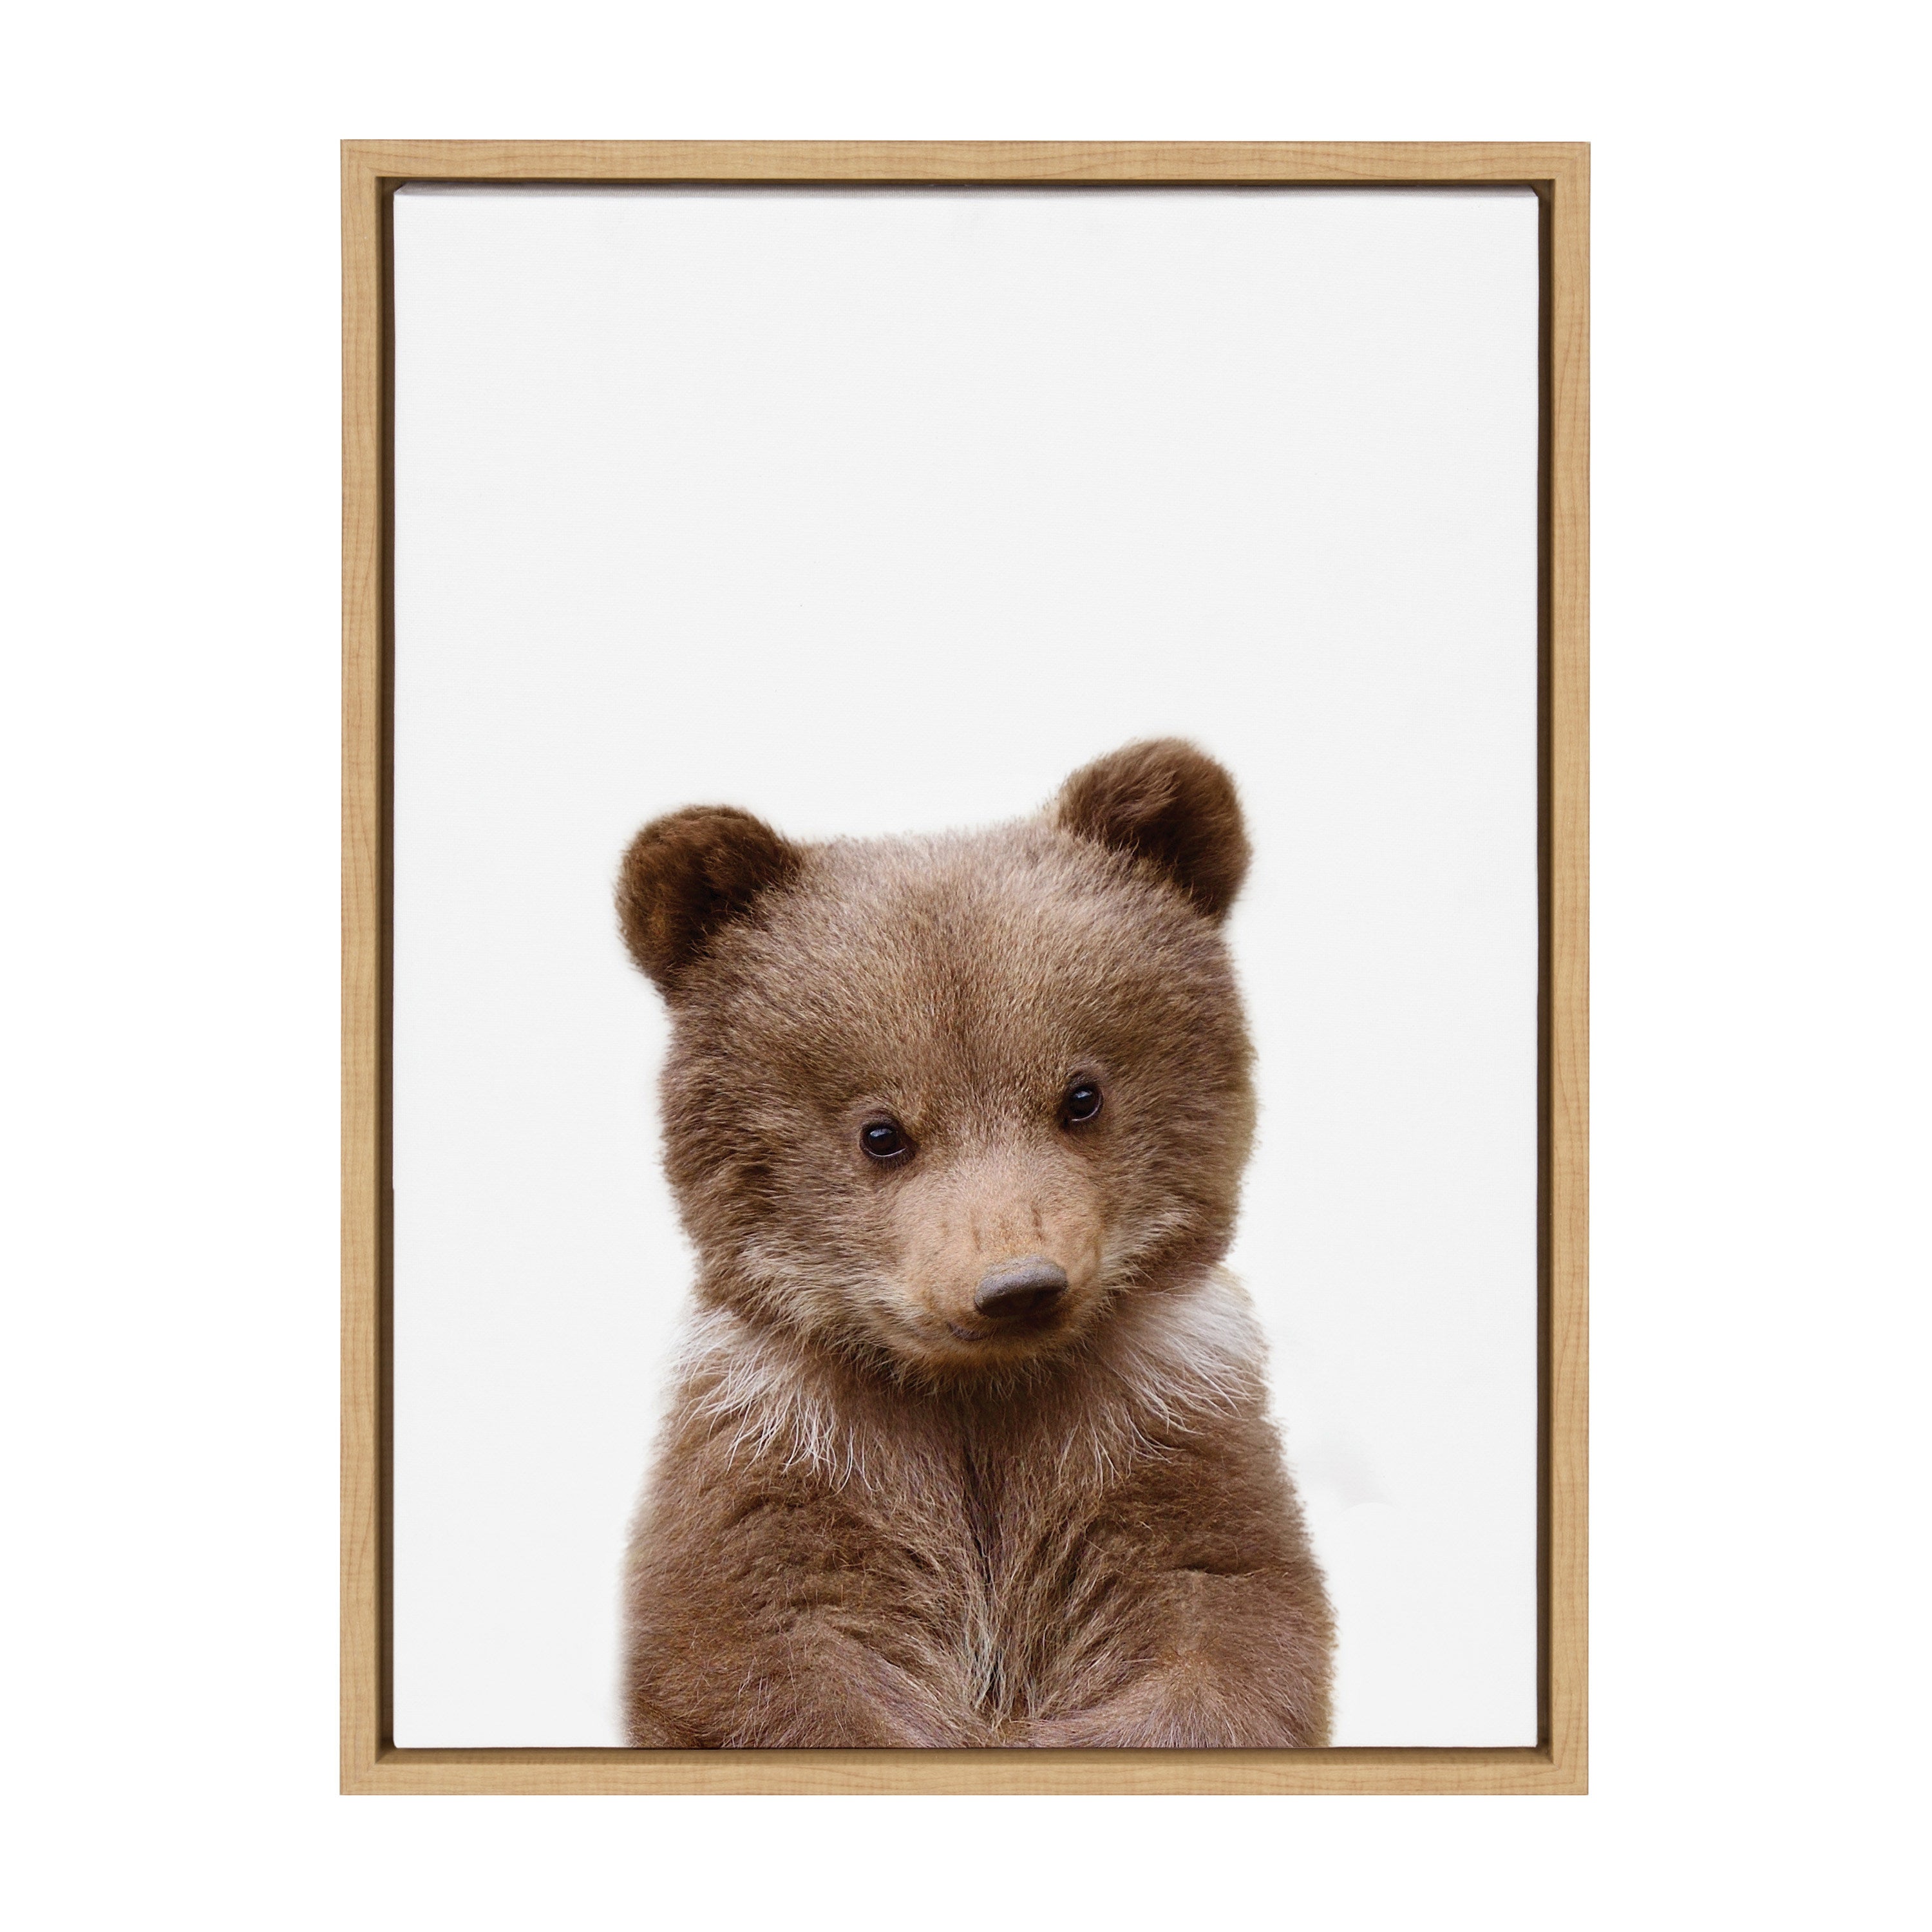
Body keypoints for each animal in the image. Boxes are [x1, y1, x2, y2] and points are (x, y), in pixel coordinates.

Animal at [614, 738, 1334, 1748]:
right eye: (881, 1132)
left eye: (1083, 1094)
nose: (1018, 1285)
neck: (978, 1397)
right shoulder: (791, 1453)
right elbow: (761, 1657)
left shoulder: (1163, 1434)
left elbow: (1223, 1627)